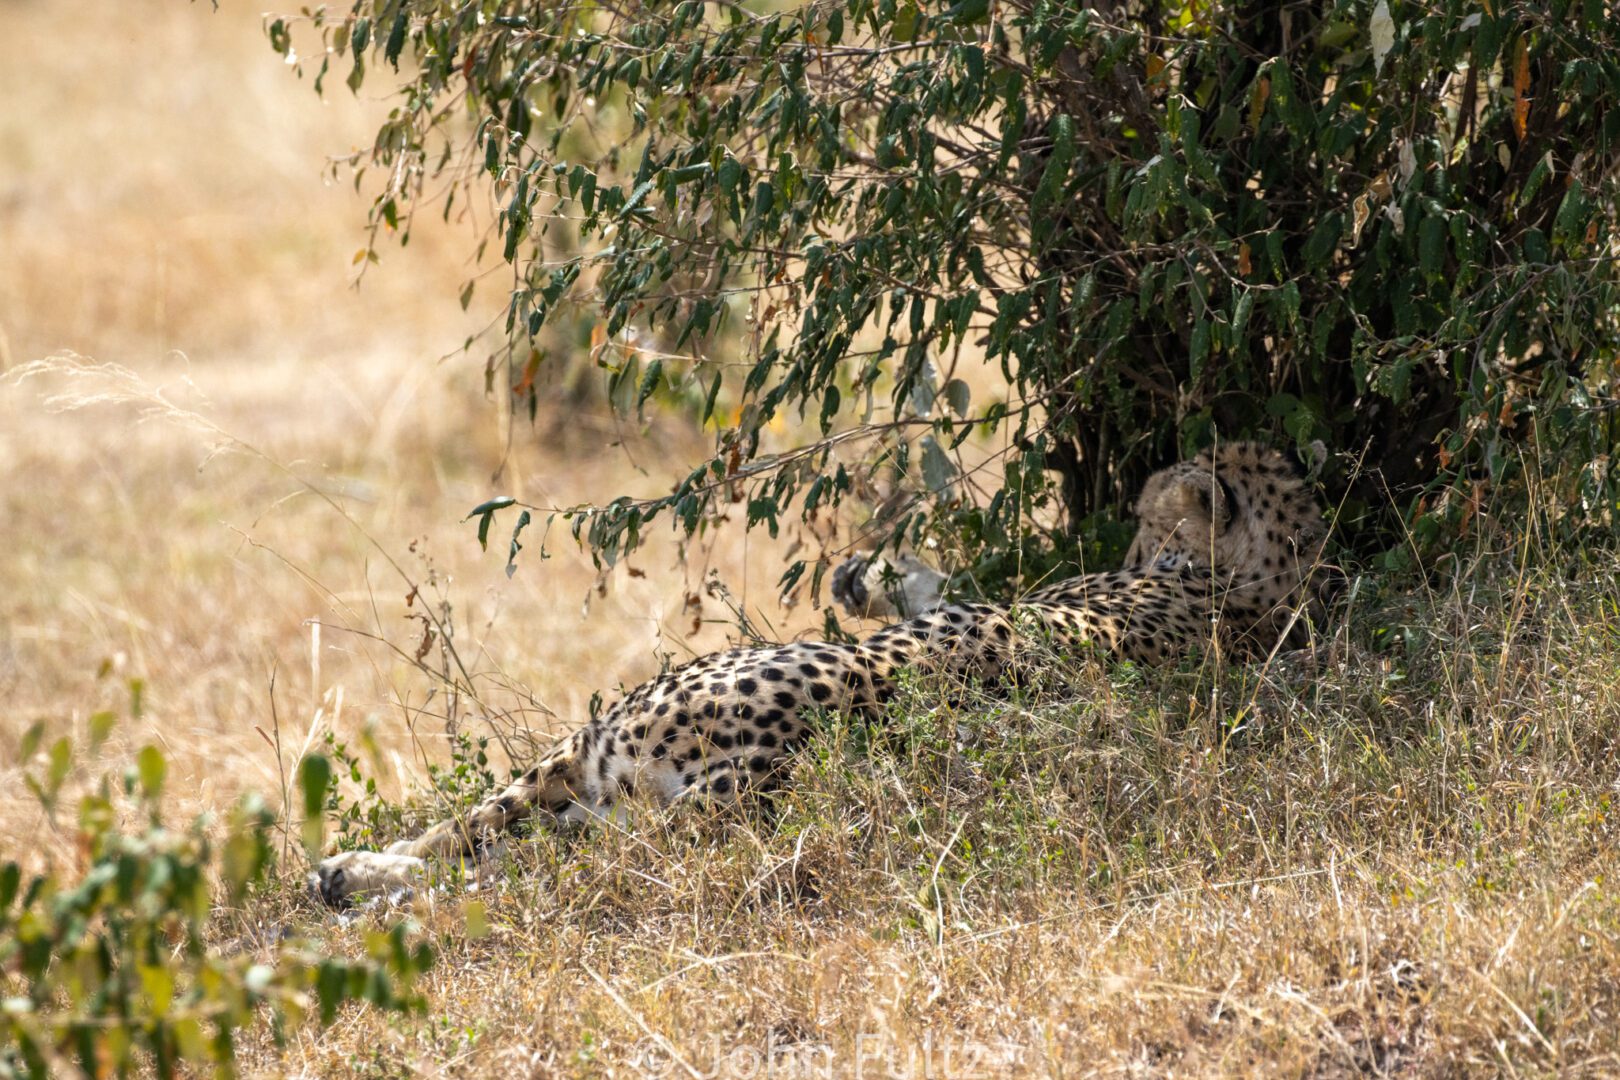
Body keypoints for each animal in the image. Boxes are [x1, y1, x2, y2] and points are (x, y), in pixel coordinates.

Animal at [312, 443, 1328, 906]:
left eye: (1150, 522)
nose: (1126, 544)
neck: (1257, 590)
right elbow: (940, 585)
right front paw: (869, 571)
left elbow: (947, 591)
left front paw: (874, 574)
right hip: (587, 762)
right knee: (476, 836)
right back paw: (349, 872)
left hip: (610, 761)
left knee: (506, 859)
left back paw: (355, 879)